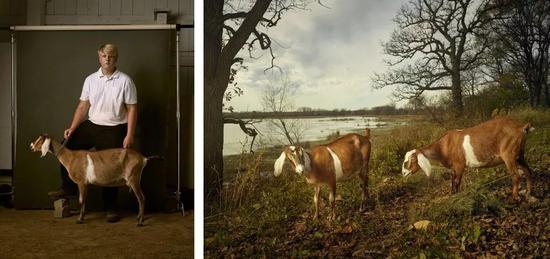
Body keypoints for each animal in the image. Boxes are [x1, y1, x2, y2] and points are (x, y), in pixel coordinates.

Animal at [29, 135, 162, 226]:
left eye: (39, 140)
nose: (31, 146)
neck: (70, 157)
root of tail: (144, 158)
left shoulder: (81, 182)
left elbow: (81, 200)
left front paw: (79, 219)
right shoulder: (86, 184)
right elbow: (84, 200)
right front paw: (82, 217)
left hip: (134, 179)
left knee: (142, 198)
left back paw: (140, 221)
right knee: (141, 198)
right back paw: (138, 217)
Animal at [402, 117, 536, 201]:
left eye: (410, 160)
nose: (403, 173)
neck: (443, 147)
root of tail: (521, 127)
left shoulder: (460, 166)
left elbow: (457, 182)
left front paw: (457, 197)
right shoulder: (453, 169)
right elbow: (452, 181)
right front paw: (452, 195)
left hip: (509, 154)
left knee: (516, 176)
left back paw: (514, 198)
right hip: (520, 155)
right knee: (528, 172)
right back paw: (528, 193)